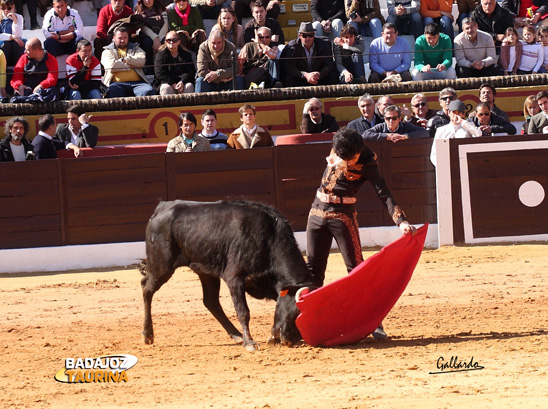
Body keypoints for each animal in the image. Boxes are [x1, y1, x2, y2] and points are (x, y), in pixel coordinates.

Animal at [141, 199, 318, 350]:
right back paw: (148, 335)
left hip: (206, 272)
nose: (289, 341)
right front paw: (250, 343)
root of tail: (162, 207)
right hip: (162, 266)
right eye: (296, 310)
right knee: (147, 288)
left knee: (211, 301)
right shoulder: (235, 279)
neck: (269, 237)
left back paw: (237, 335)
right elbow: (243, 311)